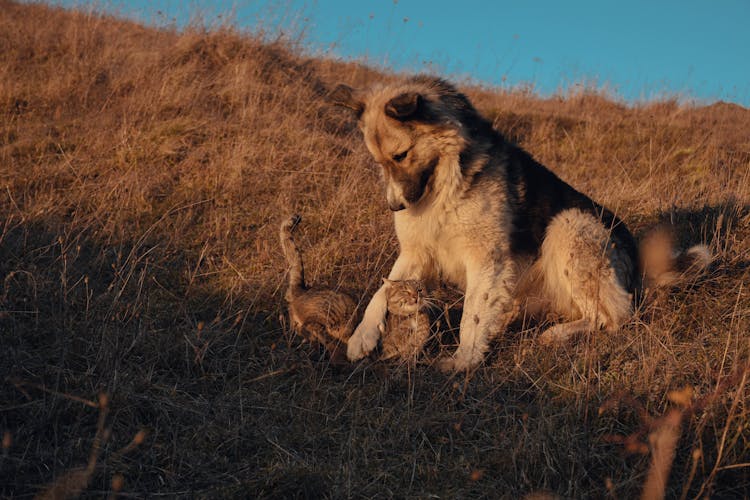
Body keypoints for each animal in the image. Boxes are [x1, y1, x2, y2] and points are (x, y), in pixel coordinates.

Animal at [332, 75, 712, 372]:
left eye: (401, 155)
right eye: (379, 161)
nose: (395, 205)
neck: (446, 182)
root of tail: (636, 261)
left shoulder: (486, 258)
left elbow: (472, 314)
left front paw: (464, 361)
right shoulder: (417, 252)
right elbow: (383, 290)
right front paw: (361, 337)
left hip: (569, 226)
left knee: (615, 315)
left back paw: (559, 334)